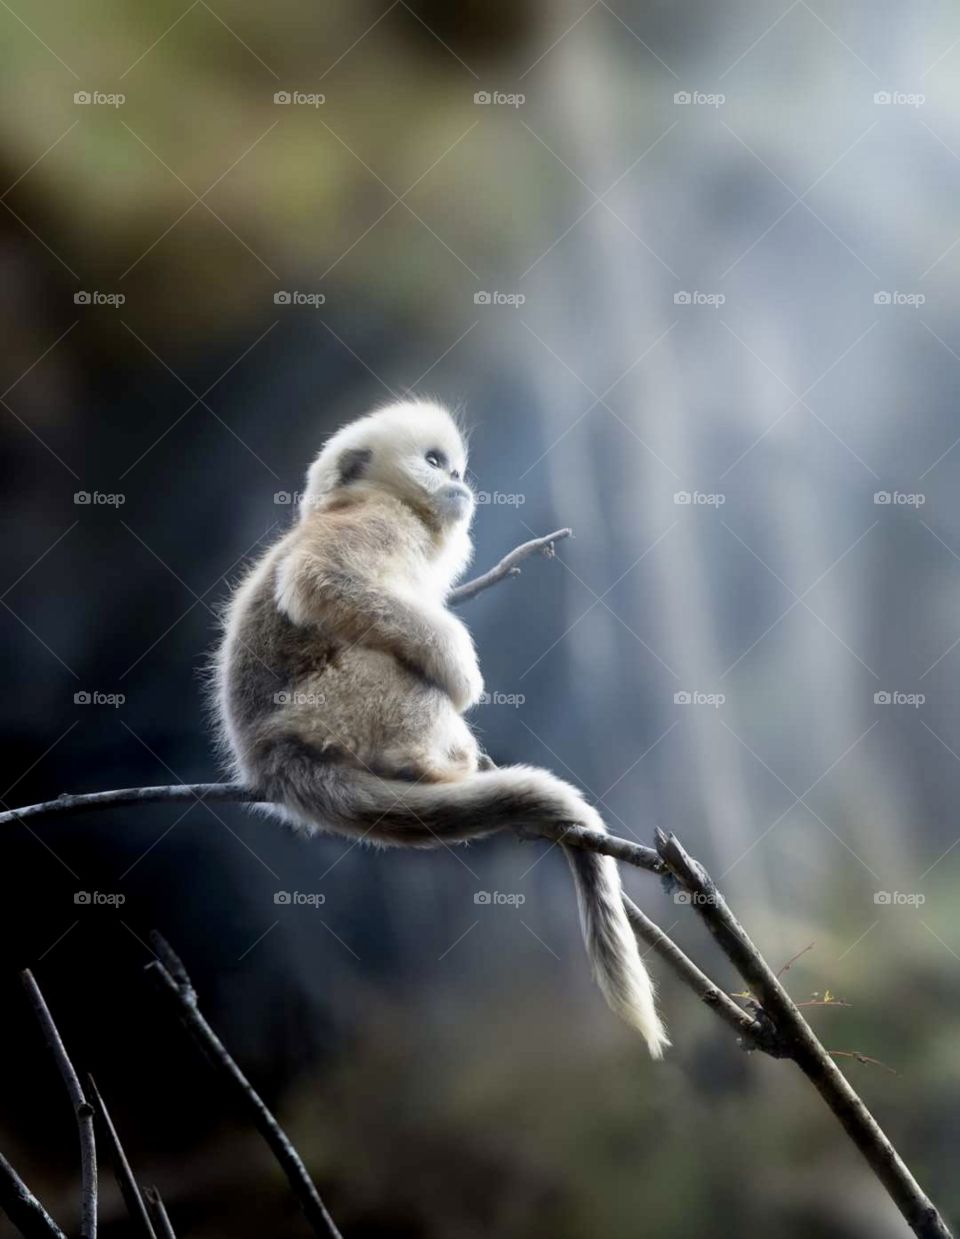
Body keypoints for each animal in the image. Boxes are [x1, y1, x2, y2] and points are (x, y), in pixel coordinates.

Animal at [213, 399, 668, 1058]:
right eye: (434, 462)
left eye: (453, 465)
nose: (457, 480)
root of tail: (268, 758)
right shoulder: (379, 525)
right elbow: (321, 580)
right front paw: (462, 671)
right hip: (334, 702)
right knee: (402, 670)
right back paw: (434, 763)